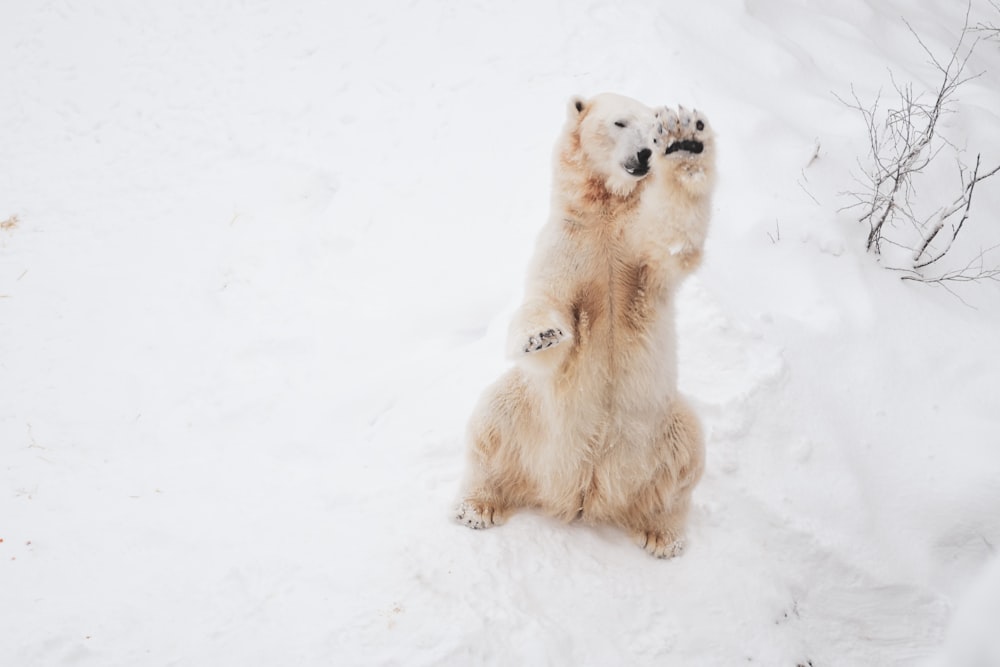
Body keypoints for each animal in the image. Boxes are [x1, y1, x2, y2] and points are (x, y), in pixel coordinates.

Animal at [458, 90, 716, 560]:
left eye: (653, 127)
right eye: (619, 123)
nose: (645, 154)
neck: (607, 212)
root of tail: (584, 492)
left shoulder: (637, 252)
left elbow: (673, 238)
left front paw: (687, 140)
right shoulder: (568, 242)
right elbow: (547, 299)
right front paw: (542, 335)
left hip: (663, 424)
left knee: (683, 461)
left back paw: (662, 536)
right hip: (529, 412)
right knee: (492, 423)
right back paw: (477, 507)